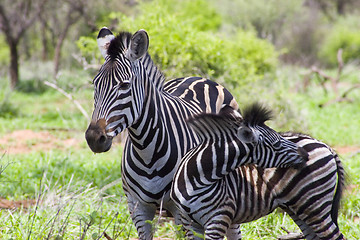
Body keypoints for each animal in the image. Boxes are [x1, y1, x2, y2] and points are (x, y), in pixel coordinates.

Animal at [85, 27, 306, 238]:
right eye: (95, 84)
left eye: (124, 85)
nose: (94, 138)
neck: (147, 151)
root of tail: (200, 78)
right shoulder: (137, 208)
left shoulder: (181, 210)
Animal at [172, 104, 346, 240]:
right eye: (276, 144)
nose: (305, 155)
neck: (194, 178)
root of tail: (324, 144)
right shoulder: (188, 222)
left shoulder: (218, 218)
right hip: (300, 209)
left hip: (315, 205)